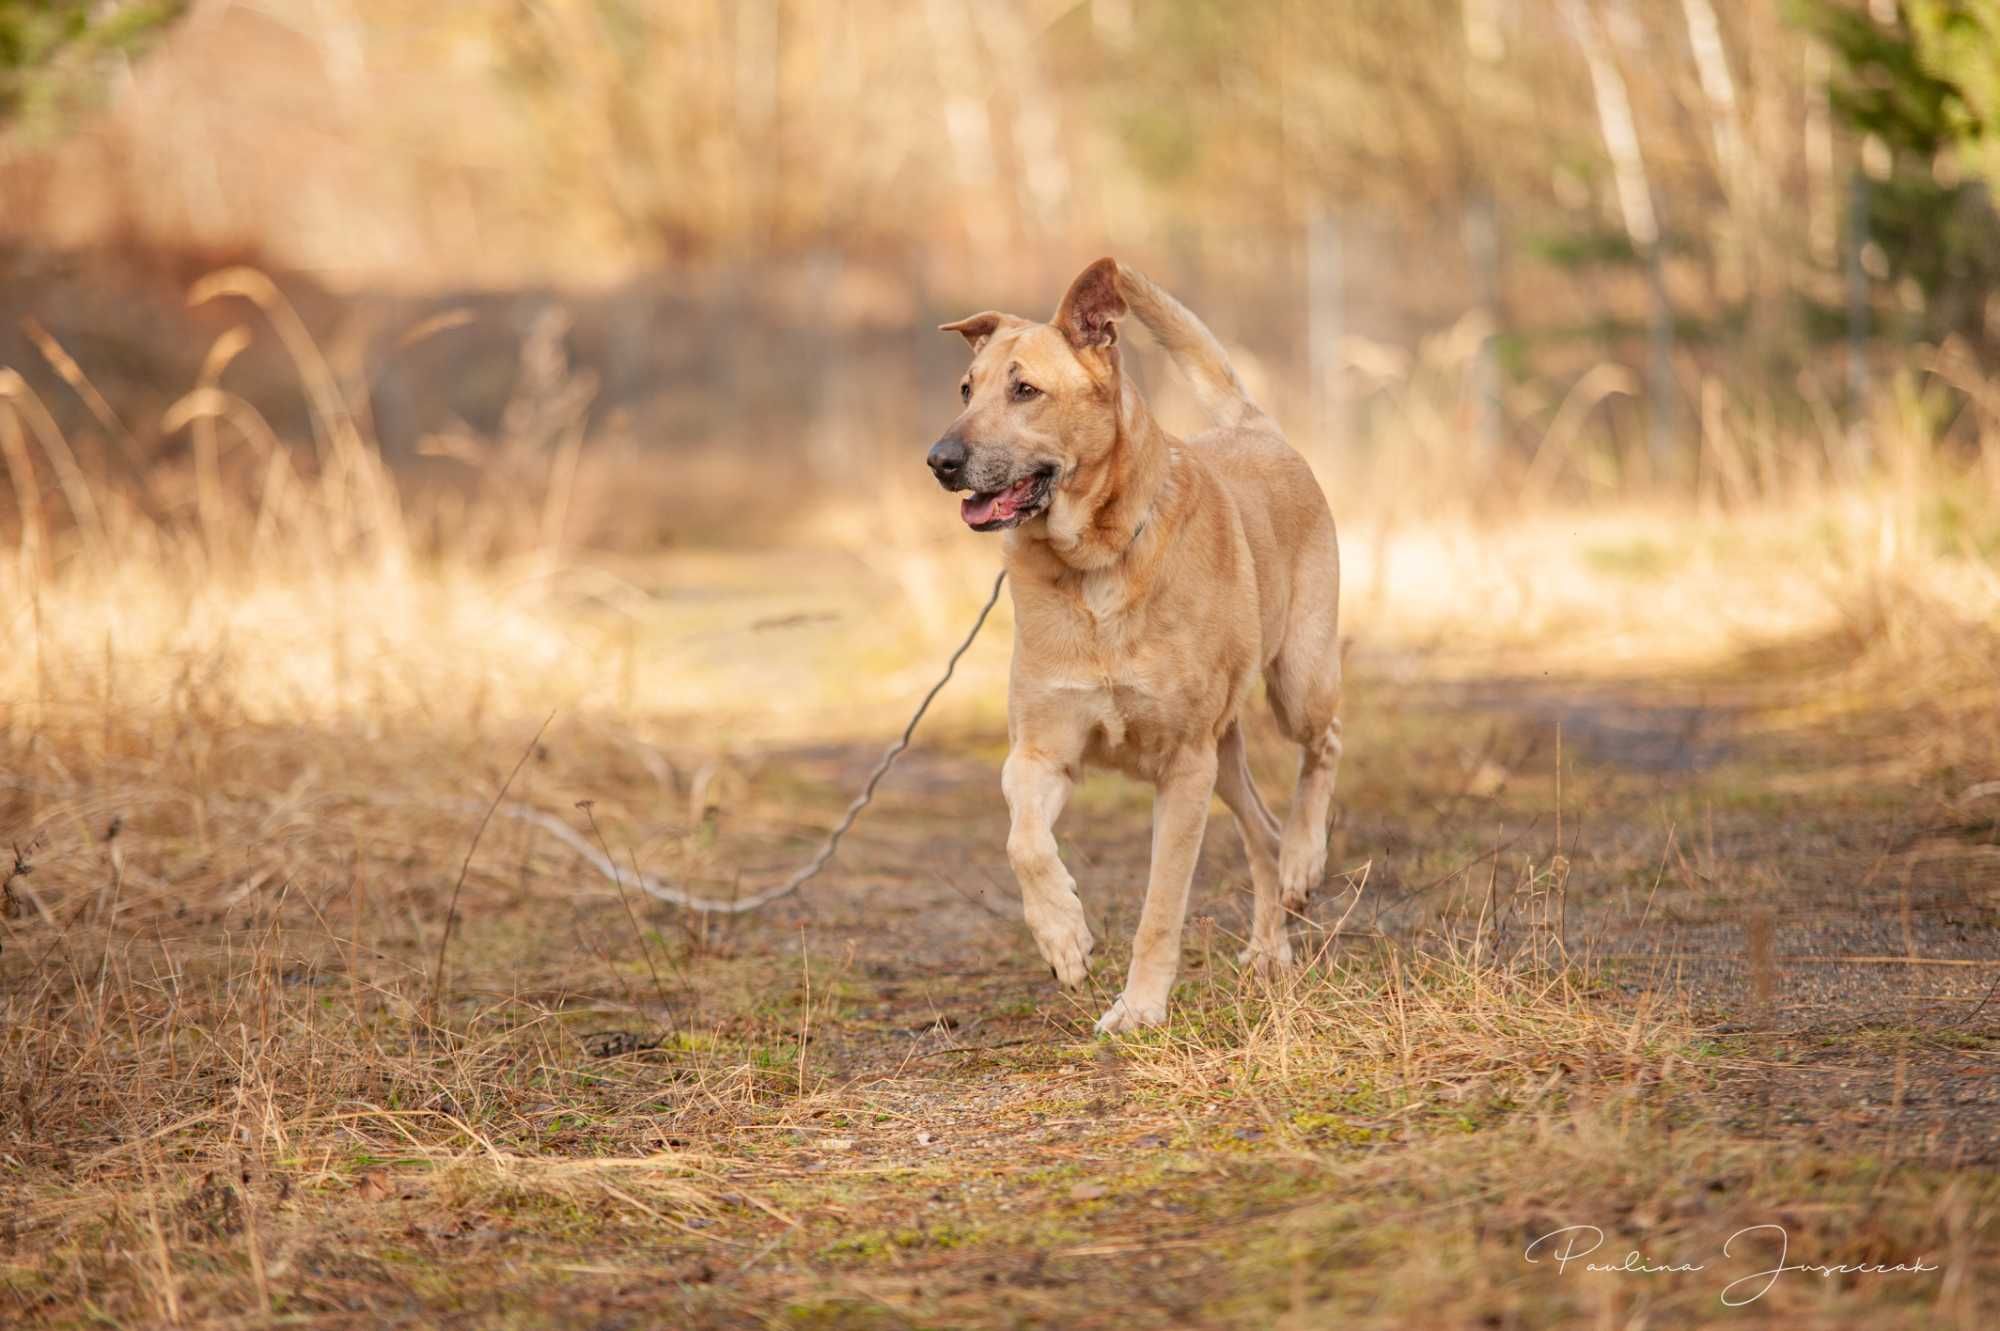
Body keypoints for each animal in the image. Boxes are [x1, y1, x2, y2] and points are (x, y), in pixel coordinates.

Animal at [924, 255, 1344, 1023]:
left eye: (1025, 389)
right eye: (966, 390)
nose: (939, 459)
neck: (1092, 568)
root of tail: (1257, 427)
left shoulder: (1183, 769)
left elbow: (1161, 904)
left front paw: (1141, 1008)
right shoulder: (1043, 754)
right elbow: (1023, 841)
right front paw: (1062, 934)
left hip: (1296, 681)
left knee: (1321, 751)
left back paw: (1306, 856)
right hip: (1225, 754)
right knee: (1261, 832)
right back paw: (1270, 946)